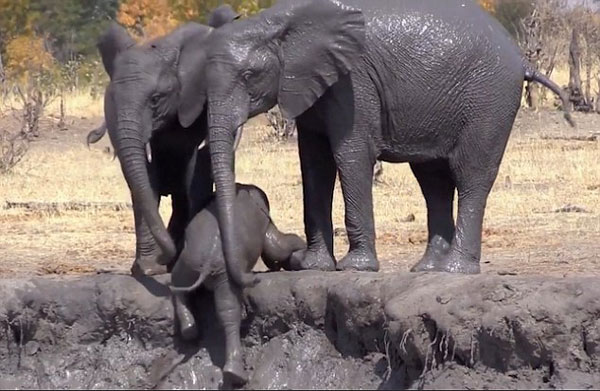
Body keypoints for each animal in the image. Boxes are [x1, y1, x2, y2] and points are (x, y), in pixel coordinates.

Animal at [96, 5, 241, 276]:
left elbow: (196, 171)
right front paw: (148, 269)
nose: (163, 258)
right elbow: (144, 182)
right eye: (111, 99)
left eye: (155, 99)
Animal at [158, 0, 572, 288]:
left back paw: (456, 271)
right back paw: (428, 269)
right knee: (433, 180)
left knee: (470, 175)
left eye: (249, 75)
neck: (284, 20)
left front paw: (354, 268)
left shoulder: (353, 82)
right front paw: (313, 267)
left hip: (489, 99)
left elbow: (350, 155)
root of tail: (522, 59)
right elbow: (313, 165)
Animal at [171, 184, 308, 386]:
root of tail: (207, 262)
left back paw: (190, 330)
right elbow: (276, 246)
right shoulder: (263, 220)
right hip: (223, 274)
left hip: (188, 262)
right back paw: (236, 374)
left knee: (177, 285)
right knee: (229, 309)